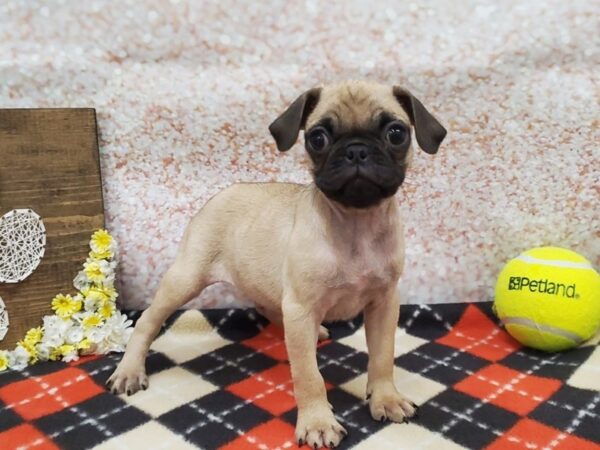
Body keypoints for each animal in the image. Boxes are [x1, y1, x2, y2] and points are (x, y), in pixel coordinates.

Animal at [106, 81, 446, 450]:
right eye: (317, 138)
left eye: (396, 134)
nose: (356, 150)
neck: (356, 223)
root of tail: (219, 195)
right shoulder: (301, 306)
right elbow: (309, 376)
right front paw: (317, 422)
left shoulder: (384, 304)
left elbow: (383, 357)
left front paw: (386, 398)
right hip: (185, 279)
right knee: (147, 323)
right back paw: (130, 370)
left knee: (271, 309)